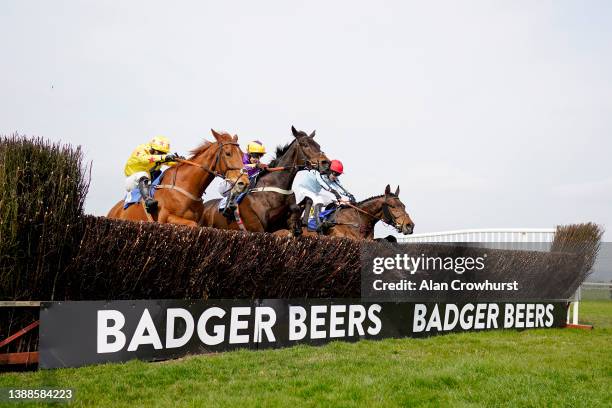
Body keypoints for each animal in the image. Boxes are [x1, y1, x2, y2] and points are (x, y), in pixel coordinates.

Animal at [107, 130, 249, 228]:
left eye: (242, 154)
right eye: (228, 153)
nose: (244, 183)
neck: (186, 186)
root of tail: (112, 210)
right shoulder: (165, 218)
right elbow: (192, 225)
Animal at [200, 124, 330, 234]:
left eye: (318, 145)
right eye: (305, 145)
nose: (326, 163)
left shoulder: (279, 224)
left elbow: (303, 204)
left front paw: (303, 223)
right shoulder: (259, 226)